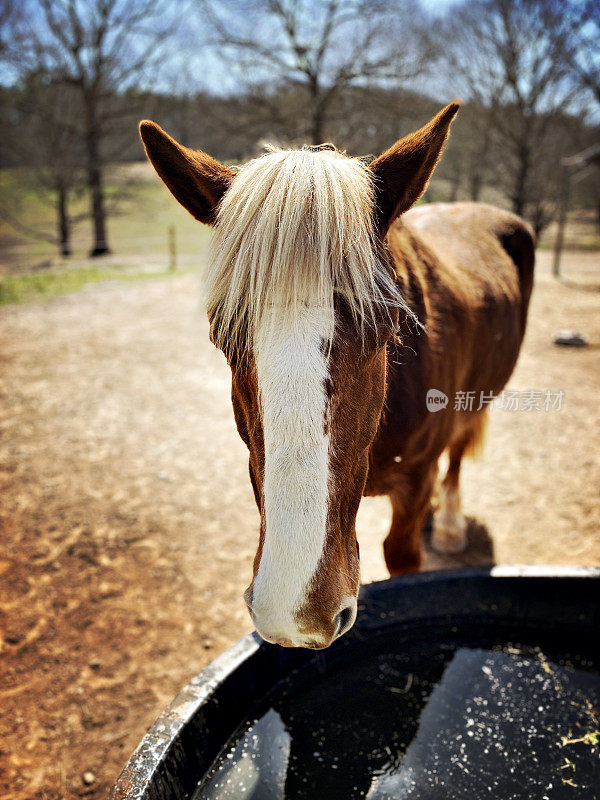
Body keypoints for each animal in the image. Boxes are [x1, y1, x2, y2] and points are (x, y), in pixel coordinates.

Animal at [139, 101, 536, 648]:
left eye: (386, 327)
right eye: (222, 333)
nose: (297, 616)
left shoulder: (415, 481)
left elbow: (404, 552)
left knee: (458, 448)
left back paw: (450, 522)